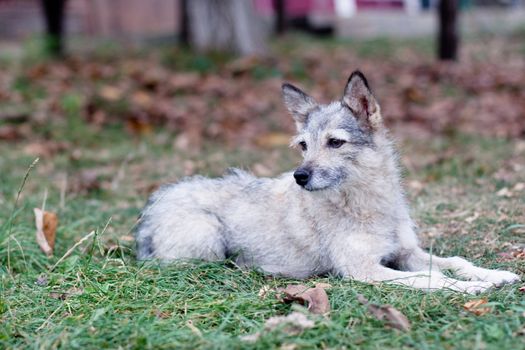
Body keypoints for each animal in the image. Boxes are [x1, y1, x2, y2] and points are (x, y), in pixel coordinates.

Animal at [135, 70, 516, 292]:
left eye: (335, 142)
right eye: (303, 145)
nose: (299, 176)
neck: (368, 204)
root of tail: (156, 201)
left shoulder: (408, 253)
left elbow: (456, 262)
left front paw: (493, 275)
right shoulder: (363, 269)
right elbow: (429, 278)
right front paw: (465, 289)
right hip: (207, 240)